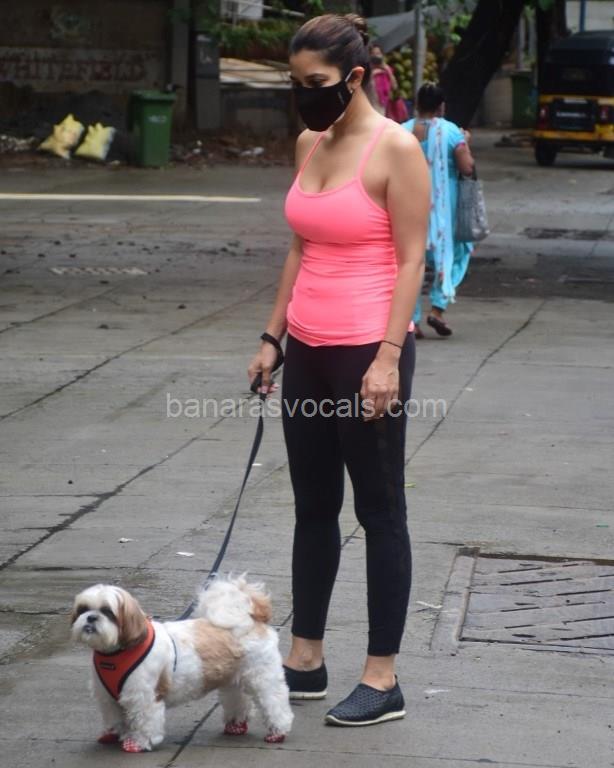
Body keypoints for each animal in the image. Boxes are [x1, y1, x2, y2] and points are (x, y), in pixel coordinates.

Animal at [70, 576, 293, 752]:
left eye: (108, 612)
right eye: (83, 609)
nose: (91, 617)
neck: (117, 653)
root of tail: (249, 619)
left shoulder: (144, 696)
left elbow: (144, 721)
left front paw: (138, 742)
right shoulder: (108, 697)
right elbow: (115, 716)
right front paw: (115, 734)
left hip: (263, 678)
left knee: (275, 702)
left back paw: (278, 731)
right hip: (233, 679)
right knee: (238, 700)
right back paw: (236, 724)